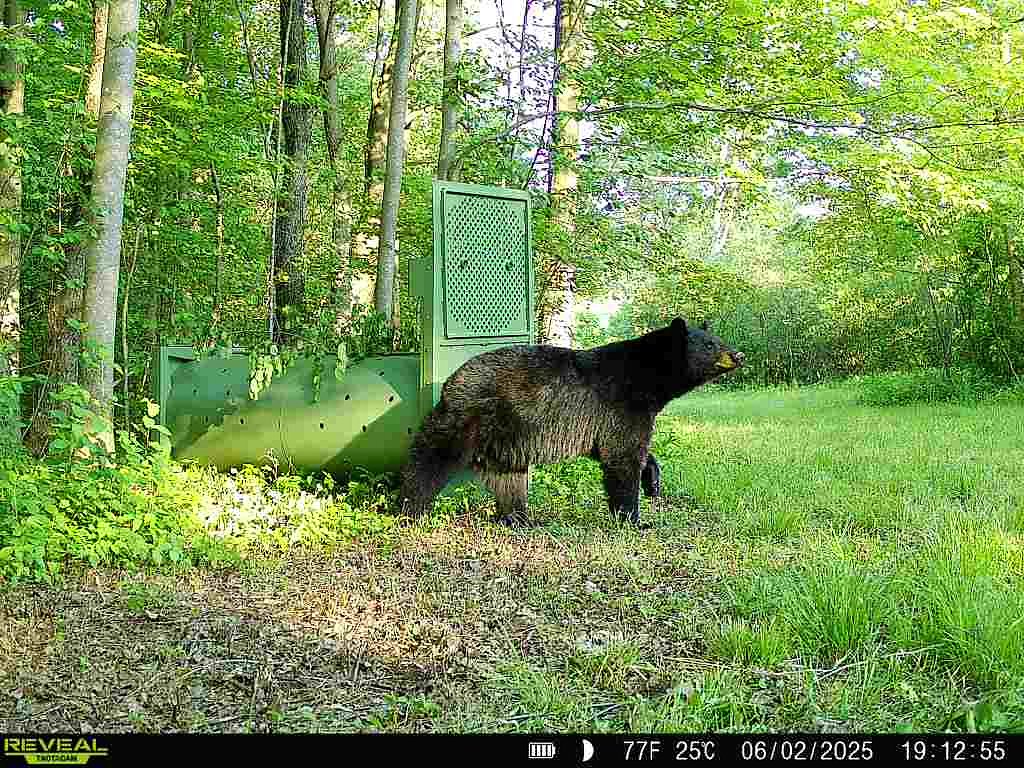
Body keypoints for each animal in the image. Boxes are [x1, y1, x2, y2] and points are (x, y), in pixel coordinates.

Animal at [398, 317, 745, 527]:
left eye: (718, 338)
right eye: (710, 344)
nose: (738, 354)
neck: (648, 378)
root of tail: (449, 384)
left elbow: (625, 451)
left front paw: (653, 481)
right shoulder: (620, 404)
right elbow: (622, 457)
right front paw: (633, 518)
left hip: (505, 443)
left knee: (509, 482)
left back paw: (519, 519)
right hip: (466, 419)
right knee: (428, 460)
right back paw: (409, 509)